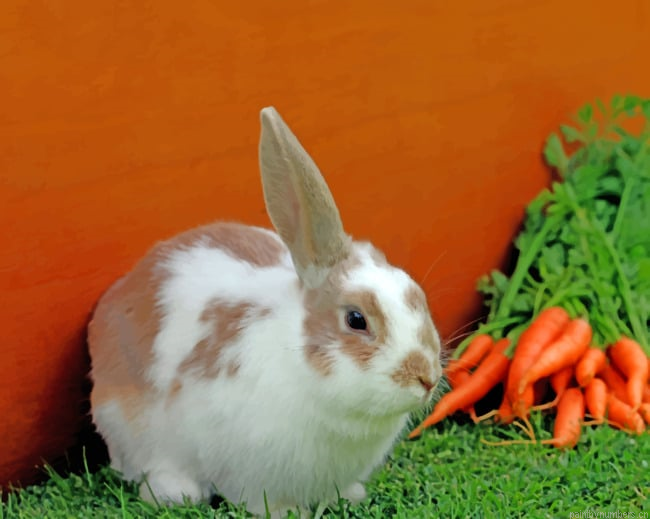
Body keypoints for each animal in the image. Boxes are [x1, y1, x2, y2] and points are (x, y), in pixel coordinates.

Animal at [87, 106, 443, 518]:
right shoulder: (247, 469)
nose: (427, 377)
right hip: (125, 424)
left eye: (415, 293)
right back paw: (175, 491)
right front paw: (290, 513)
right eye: (356, 320)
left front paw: (351, 495)